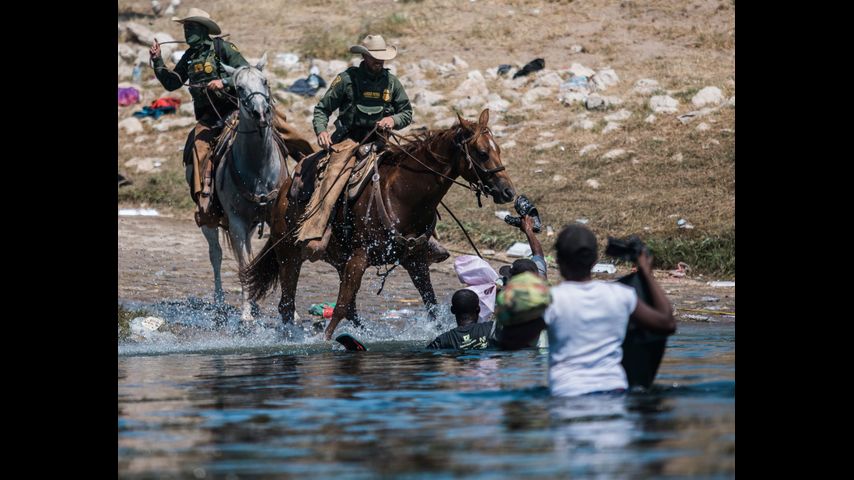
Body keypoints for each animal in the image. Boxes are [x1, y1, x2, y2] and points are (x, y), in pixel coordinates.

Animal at [191, 53, 288, 322]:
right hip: (211, 221)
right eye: (239, 88)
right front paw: (245, 315)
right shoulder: (235, 222)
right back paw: (221, 303)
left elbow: (276, 260)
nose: (261, 113)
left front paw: (292, 314)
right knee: (216, 255)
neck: (258, 168)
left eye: (264, 81)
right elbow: (243, 264)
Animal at [244, 109, 520, 342]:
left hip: (337, 259)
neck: (401, 195)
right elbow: (341, 305)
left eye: (498, 149)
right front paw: (324, 341)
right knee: (287, 304)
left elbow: (430, 303)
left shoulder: (415, 259)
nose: (508, 191)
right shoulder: (359, 257)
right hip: (289, 256)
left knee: (350, 308)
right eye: (482, 153)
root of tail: (282, 193)